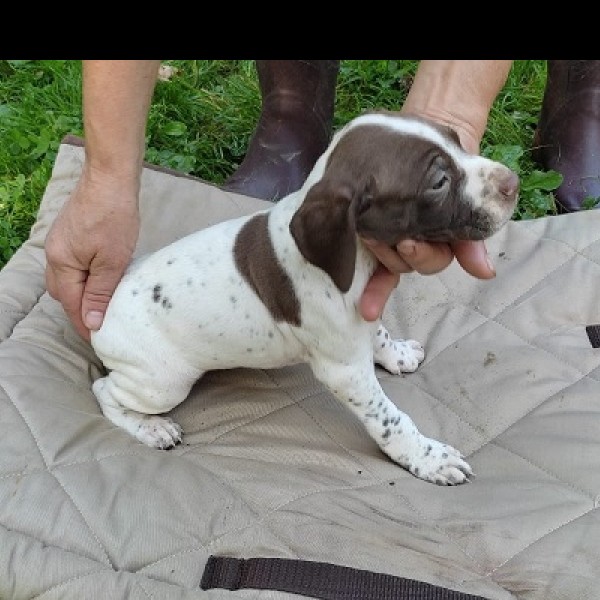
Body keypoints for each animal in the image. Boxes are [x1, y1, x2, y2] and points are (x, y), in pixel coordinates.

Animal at [91, 113, 516, 488]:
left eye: (456, 139)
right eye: (439, 182)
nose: (512, 182)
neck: (356, 254)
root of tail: (102, 312)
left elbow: (377, 333)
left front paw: (395, 354)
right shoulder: (345, 373)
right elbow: (390, 419)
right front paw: (427, 458)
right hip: (162, 382)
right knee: (104, 391)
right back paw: (151, 428)